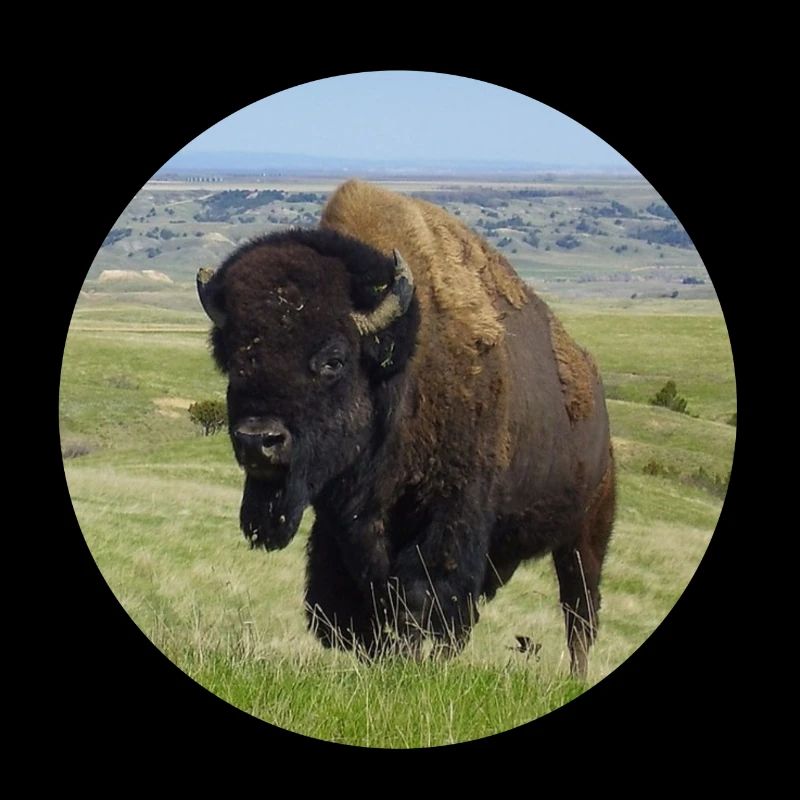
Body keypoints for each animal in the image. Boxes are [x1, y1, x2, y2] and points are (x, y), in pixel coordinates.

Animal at [196, 180, 615, 677]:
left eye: (334, 359)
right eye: (235, 358)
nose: (259, 439)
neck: (401, 368)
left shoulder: (449, 513)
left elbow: (421, 592)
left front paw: (409, 660)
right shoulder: (348, 527)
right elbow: (363, 598)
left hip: (586, 534)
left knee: (579, 612)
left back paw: (575, 674)